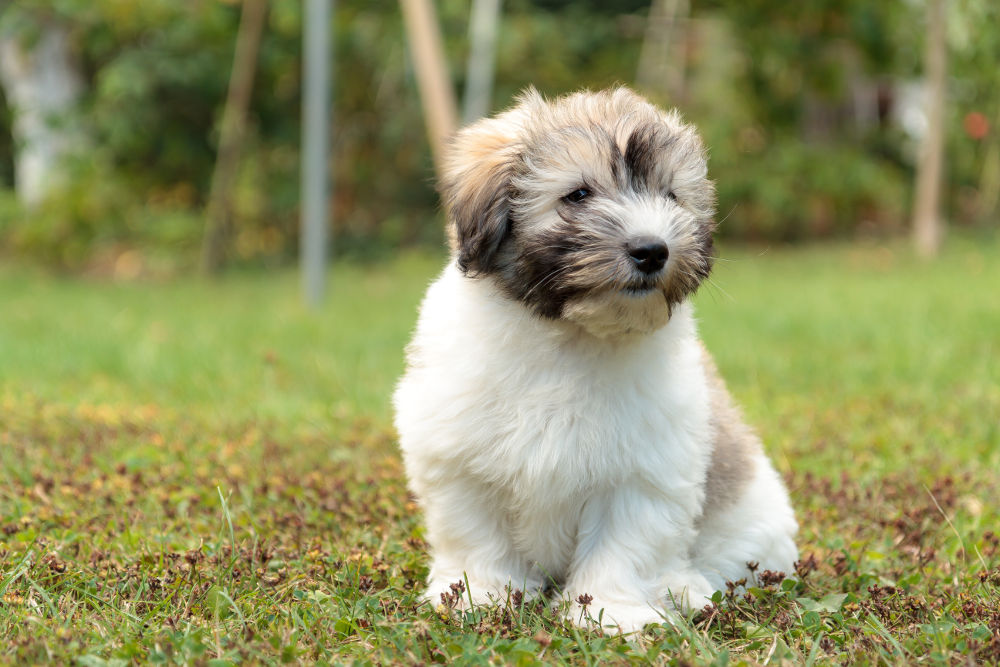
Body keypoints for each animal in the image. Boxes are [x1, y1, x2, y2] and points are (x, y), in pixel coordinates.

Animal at [390, 86, 796, 636]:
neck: (570, 336)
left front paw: (609, 613)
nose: (652, 250)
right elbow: (476, 536)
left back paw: (685, 588)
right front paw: (479, 596)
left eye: (671, 196)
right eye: (578, 195)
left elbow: (623, 547)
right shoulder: (458, 459)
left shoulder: (643, 473)